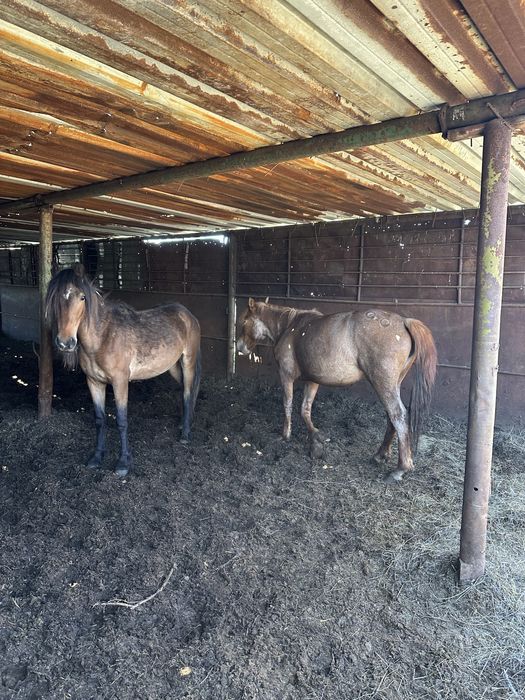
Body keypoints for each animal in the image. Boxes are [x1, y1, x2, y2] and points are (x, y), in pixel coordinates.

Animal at [45, 264, 201, 477]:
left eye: (82, 297)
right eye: (56, 297)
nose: (65, 343)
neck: (102, 338)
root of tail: (187, 314)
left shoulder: (120, 382)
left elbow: (121, 420)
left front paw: (123, 463)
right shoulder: (94, 382)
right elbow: (100, 419)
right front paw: (96, 458)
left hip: (188, 361)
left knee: (187, 392)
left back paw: (185, 433)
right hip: (172, 367)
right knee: (186, 390)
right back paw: (186, 422)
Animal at [236, 298, 437, 482]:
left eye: (244, 321)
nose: (239, 347)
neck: (290, 327)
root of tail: (404, 321)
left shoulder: (285, 375)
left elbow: (288, 404)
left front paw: (285, 435)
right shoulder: (312, 380)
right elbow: (305, 409)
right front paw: (316, 437)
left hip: (383, 383)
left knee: (398, 415)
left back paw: (400, 469)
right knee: (391, 417)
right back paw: (381, 454)